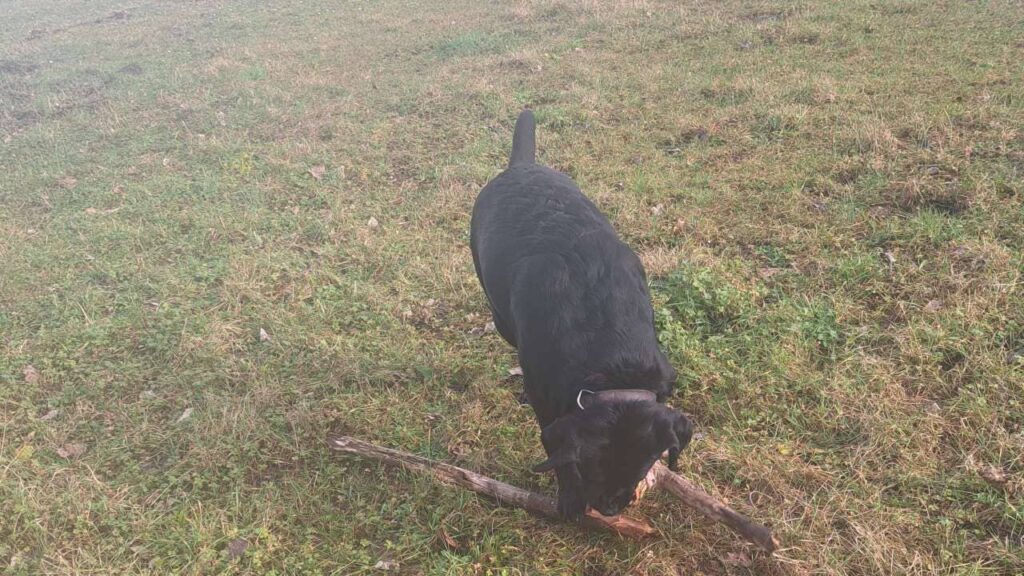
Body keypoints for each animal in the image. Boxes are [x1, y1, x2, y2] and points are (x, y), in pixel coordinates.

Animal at [468, 108, 692, 516]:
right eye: (591, 468)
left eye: (642, 465)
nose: (610, 509)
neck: (612, 356)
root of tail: (522, 166)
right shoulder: (548, 404)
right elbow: (557, 455)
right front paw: (569, 500)